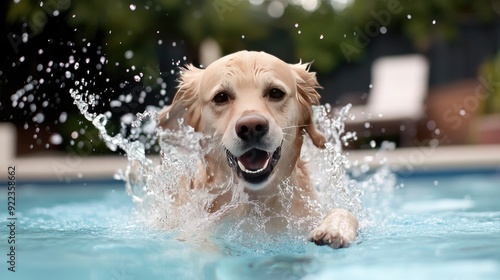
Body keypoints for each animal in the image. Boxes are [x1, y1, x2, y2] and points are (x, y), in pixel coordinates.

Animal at [158, 50, 358, 249]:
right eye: (221, 97)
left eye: (275, 93)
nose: (252, 127)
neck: (258, 201)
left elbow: (345, 212)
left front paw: (334, 228)